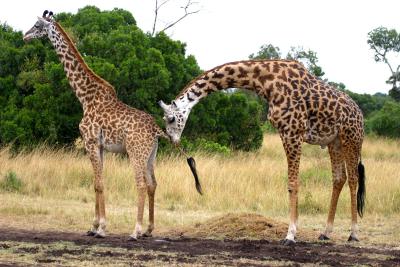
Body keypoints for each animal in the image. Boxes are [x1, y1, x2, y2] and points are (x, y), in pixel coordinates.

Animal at [23, 10, 175, 241]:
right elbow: (97, 182)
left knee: (140, 184)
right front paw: (93, 226)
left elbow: (98, 183)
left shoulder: (91, 141)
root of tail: (156, 130)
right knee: (152, 184)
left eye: (38, 25)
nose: (25, 36)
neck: (84, 97)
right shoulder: (100, 146)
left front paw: (102, 228)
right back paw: (149, 229)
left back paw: (135, 231)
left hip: (136, 152)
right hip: (151, 154)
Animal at [159, 59, 366, 246]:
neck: (265, 81)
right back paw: (326, 233)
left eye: (171, 118)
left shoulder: (293, 132)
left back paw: (353, 234)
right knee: (339, 178)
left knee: (353, 179)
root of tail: (360, 115)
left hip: (351, 139)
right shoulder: (286, 133)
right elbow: (295, 182)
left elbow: (293, 183)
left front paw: (290, 235)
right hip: (334, 142)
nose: (173, 141)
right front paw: (294, 232)